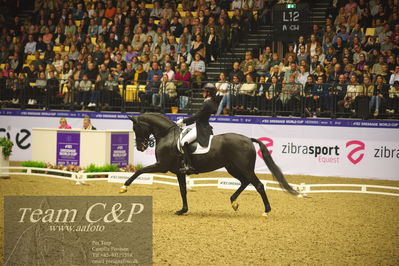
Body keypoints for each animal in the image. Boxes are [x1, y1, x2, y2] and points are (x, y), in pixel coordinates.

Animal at [122, 113, 300, 215]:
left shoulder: (162, 166)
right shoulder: (179, 172)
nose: (140, 147)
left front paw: (124, 187)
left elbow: (139, 171)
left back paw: (266, 210)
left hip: (244, 168)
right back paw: (233, 202)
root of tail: (248, 139)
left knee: (258, 185)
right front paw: (183, 210)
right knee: (245, 182)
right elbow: (183, 191)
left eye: (136, 128)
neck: (167, 136)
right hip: (232, 168)